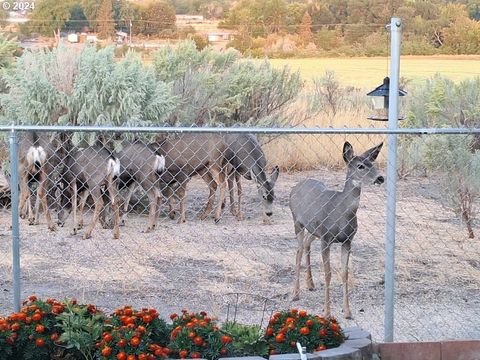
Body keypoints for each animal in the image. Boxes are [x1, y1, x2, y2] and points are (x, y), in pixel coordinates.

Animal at [286, 141, 384, 318]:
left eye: (372, 164)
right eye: (360, 166)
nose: (380, 178)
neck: (341, 212)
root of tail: (296, 186)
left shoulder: (347, 240)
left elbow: (345, 273)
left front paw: (347, 311)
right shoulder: (326, 238)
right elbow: (328, 274)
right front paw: (327, 312)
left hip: (314, 229)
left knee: (306, 244)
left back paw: (310, 284)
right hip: (297, 222)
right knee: (298, 250)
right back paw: (296, 293)